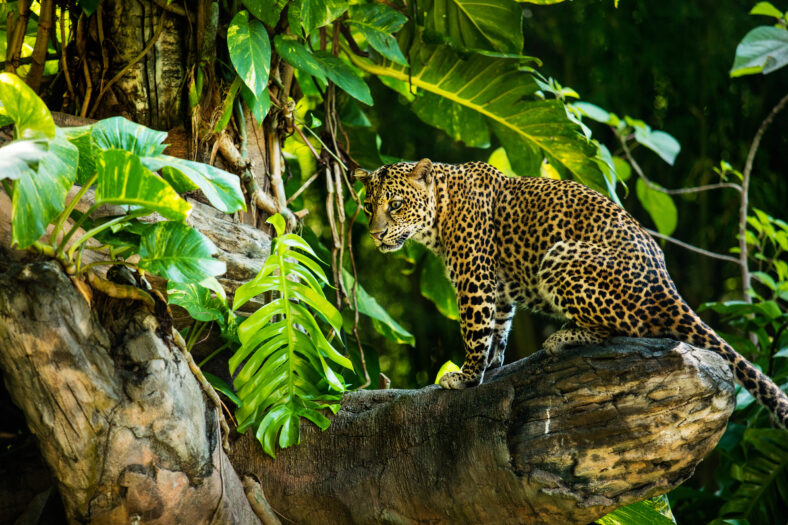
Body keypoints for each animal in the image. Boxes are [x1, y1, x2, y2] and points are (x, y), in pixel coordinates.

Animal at [354, 158, 788, 428]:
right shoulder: (499, 287)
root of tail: (667, 284)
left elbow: (476, 330)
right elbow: (499, 327)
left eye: (396, 205)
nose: (375, 234)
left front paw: (466, 376)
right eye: (368, 206)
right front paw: (492, 366)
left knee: (630, 327)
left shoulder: (474, 278)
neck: (439, 210)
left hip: (560, 257)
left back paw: (562, 337)